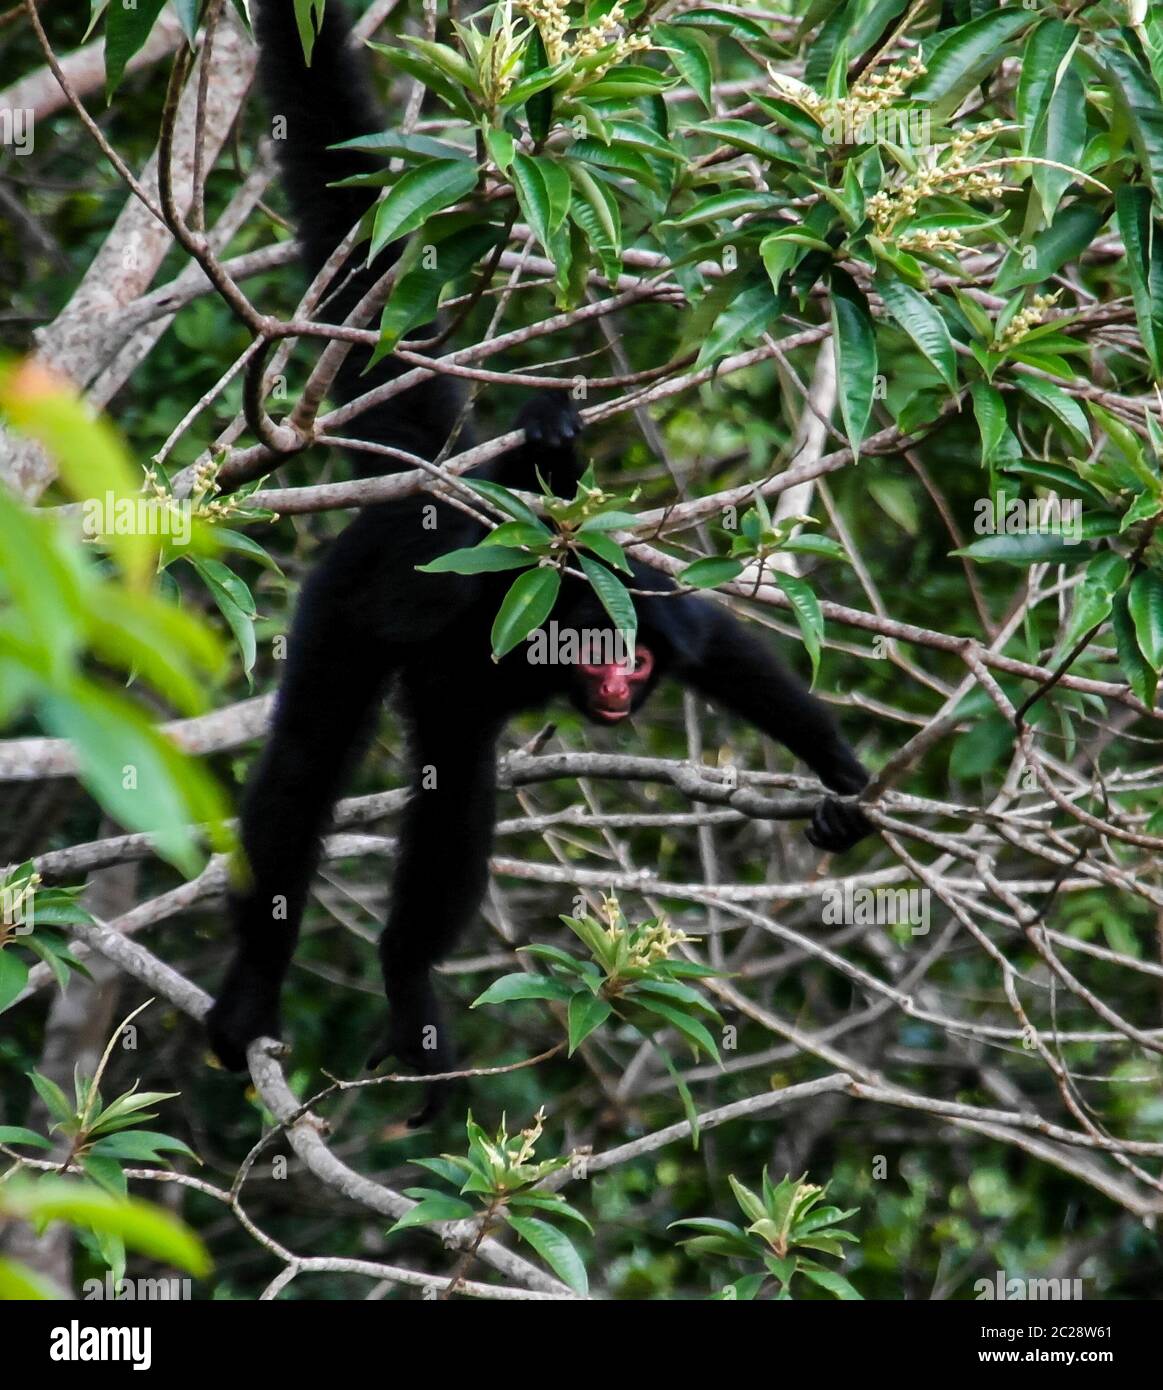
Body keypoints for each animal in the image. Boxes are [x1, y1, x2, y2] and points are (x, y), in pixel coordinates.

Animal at [204, 0, 872, 1084]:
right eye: (601, 661)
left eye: (631, 661)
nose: (614, 689)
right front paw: (549, 441)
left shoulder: (646, 603)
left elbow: (718, 646)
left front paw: (841, 780)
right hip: (347, 593)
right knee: (309, 764)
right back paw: (264, 986)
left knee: (449, 785)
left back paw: (405, 980)